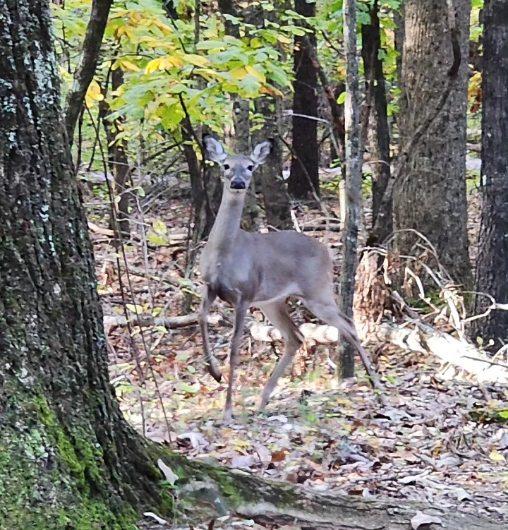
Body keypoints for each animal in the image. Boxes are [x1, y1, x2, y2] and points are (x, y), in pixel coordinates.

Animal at [200, 134, 380, 418]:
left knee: (348, 323)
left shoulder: (245, 294)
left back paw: (377, 385)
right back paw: (262, 401)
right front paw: (214, 372)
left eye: (250, 166)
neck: (223, 254)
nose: (238, 183)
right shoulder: (209, 287)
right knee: (296, 336)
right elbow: (200, 319)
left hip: (317, 291)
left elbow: (234, 348)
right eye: (226, 165)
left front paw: (227, 409)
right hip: (272, 302)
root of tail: (326, 250)